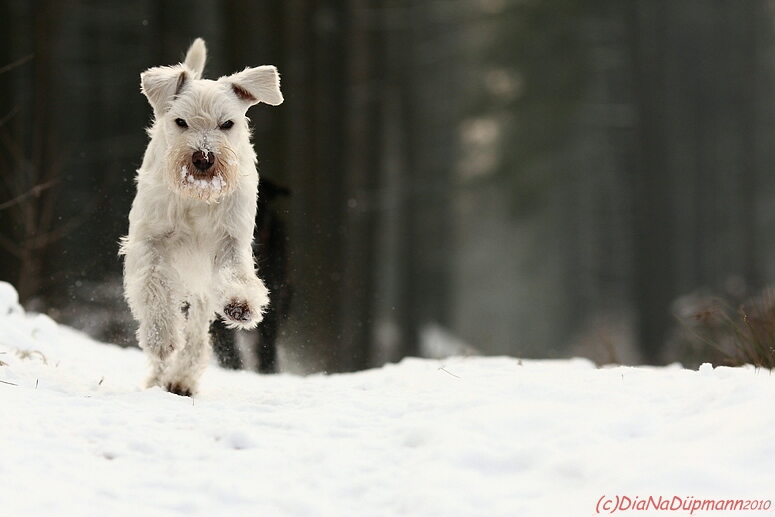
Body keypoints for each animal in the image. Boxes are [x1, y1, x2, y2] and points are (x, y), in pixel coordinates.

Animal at [123, 39, 284, 396]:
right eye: (181, 122)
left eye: (227, 124)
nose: (203, 157)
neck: (197, 198)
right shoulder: (149, 241)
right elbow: (154, 287)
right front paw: (161, 337)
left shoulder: (229, 242)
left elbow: (237, 275)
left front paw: (241, 305)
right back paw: (161, 375)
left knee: (197, 327)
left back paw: (182, 378)